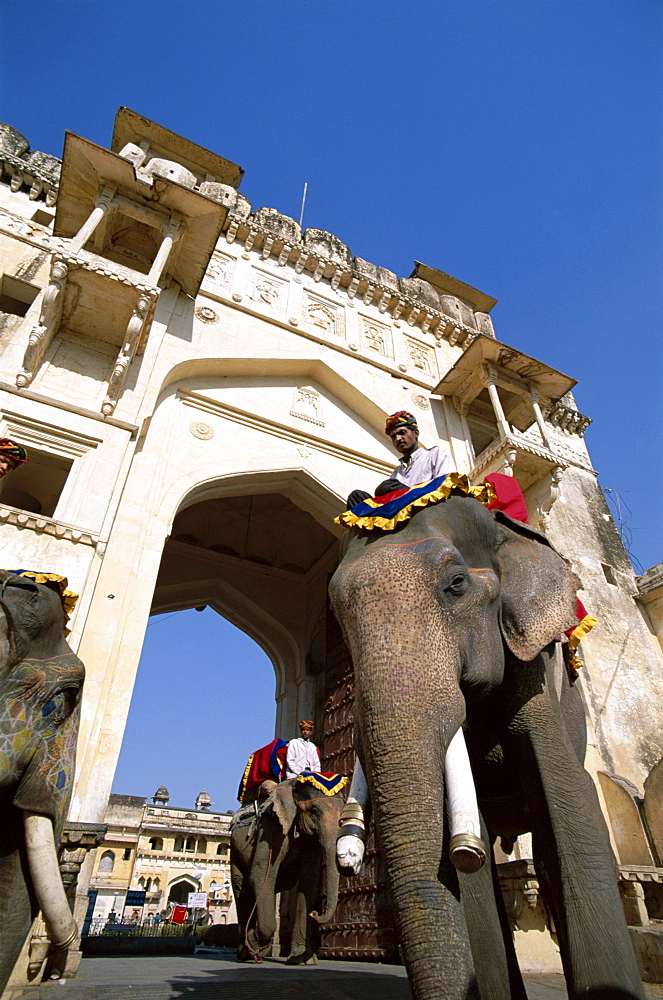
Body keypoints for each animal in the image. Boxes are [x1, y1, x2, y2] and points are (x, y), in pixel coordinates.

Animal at [231, 776, 344, 964]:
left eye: (342, 817)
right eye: (314, 811)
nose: (315, 913)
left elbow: (309, 883)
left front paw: (303, 960)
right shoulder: (270, 830)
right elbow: (261, 874)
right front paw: (254, 945)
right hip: (235, 851)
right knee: (244, 892)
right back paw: (245, 952)